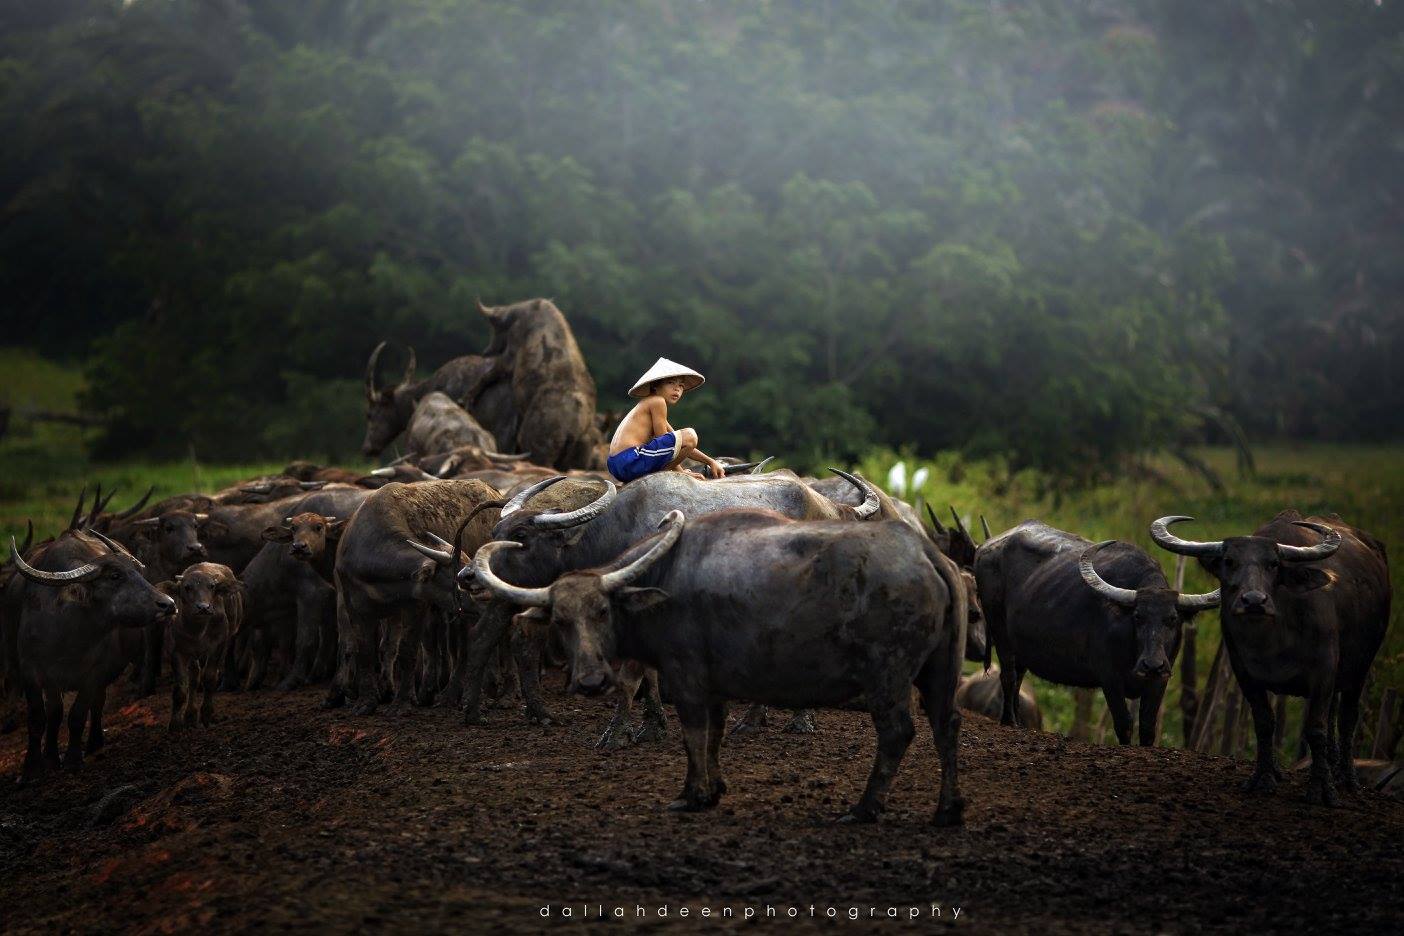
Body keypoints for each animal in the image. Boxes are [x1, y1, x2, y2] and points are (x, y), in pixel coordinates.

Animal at [3, 527, 174, 785]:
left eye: (139, 571)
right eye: (115, 576)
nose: (168, 604)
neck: (69, 635)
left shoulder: (94, 673)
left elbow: (77, 714)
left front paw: (73, 760)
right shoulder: (32, 672)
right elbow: (39, 717)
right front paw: (34, 767)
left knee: (97, 704)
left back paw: (94, 743)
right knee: (55, 712)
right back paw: (52, 756)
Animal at [160, 564, 245, 729]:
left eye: (211, 586)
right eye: (187, 587)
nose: (203, 608)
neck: (197, 631)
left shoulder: (217, 646)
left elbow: (210, 678)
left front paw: (206, 715)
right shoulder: (177, 651)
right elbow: (181, 688)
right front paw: (175, 723)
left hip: (231, 636)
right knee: (194, 677)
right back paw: (190, 715)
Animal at [477, 507, 971, 825]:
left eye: (602, 611)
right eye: (560, 620)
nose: (591, 680)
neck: (665, 580)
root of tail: (925, 553)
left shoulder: (687, 678)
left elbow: (693, 735)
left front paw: (691, 795)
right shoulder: (715, 687)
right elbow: (714, 737)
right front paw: (712, 790)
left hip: (888, 678)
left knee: (898, 733)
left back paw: (864, 808)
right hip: (939, 673)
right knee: (947, 725)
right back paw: (947, 810)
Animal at [971, 519, 1224, 746]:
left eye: (1172, 619)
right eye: (1138, 617)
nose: (1152, 664)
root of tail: (984, 548)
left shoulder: (1160, 679)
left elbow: (1147, 727)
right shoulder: (1109, 678)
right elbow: (1124, 723)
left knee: (1019, 675)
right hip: (999, 630)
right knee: (1008, 675)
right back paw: (1009, 721)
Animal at [1151, 513, 1392, 808]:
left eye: (1273, 564)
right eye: (1229, 561)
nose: (1254, 601)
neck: (1272, 638)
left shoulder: (1324, 672)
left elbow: (1316, 729)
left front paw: (1321, 789)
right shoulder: (1244, 673)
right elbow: (1265, 722)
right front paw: (1264, 778)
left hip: (1361, 668)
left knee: (1347, 717)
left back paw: (1346, 778)